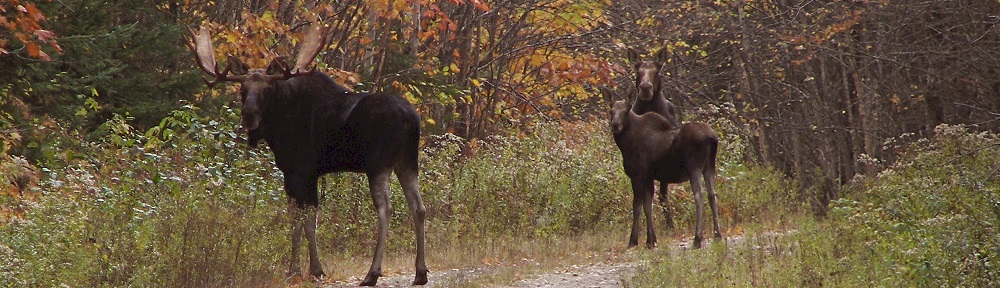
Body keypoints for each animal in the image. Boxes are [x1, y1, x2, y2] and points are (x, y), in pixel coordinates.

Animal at [600, 88, 720, 250]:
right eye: (611, 110)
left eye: (625, 110)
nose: (615, 125)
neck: (625, 145)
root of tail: (712, 138)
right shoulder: (649, 177)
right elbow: (648, 205)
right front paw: (651, 240)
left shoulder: (638, 175)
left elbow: (637, 206)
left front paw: (633, 240)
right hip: (709, 166)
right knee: (712, 194)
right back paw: (717, 235)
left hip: (693, 167)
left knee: (699, 195)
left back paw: (697, 239)